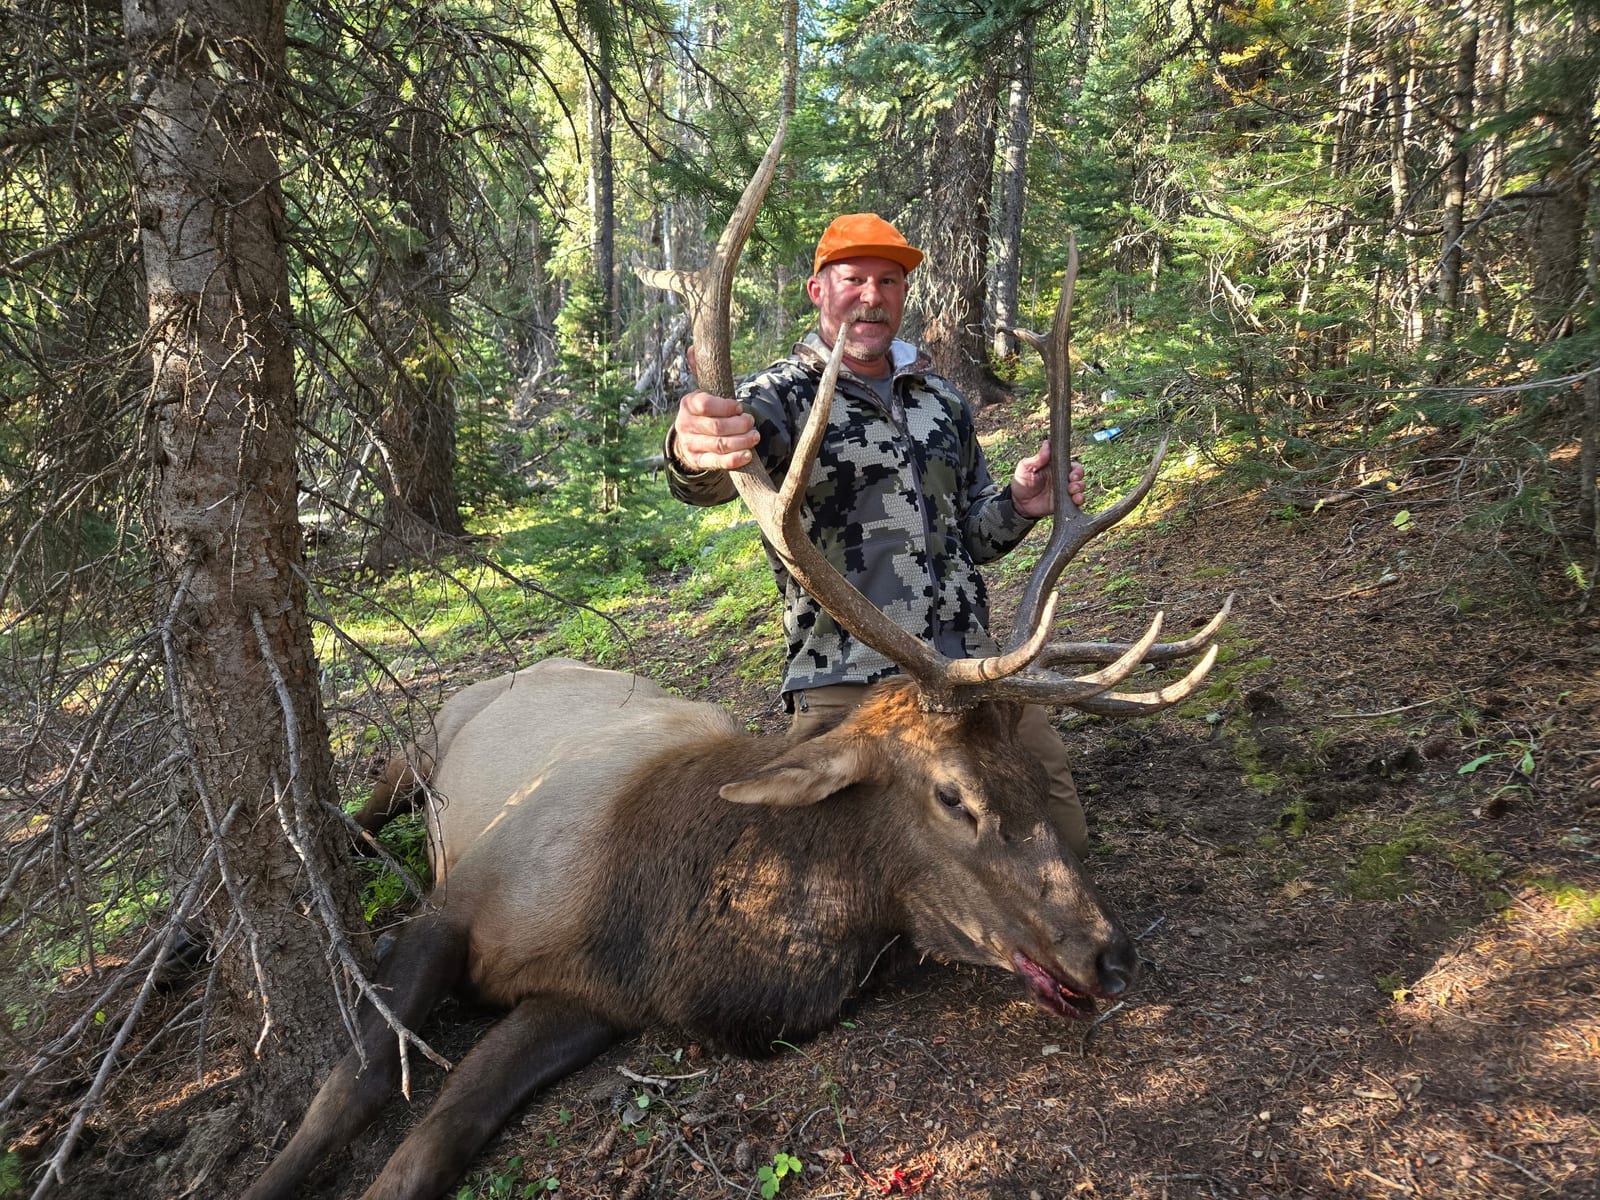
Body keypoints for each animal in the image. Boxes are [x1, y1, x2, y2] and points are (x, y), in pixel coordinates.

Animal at [240, 40, 1229, 1200]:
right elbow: (346, 1085)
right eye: (954, 797)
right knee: (353, 817)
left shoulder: (590, 1004)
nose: (1112, 954)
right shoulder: (455, 905)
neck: (672, 930)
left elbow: (434, 1141)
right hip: (421, 742)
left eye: (1037, 783)